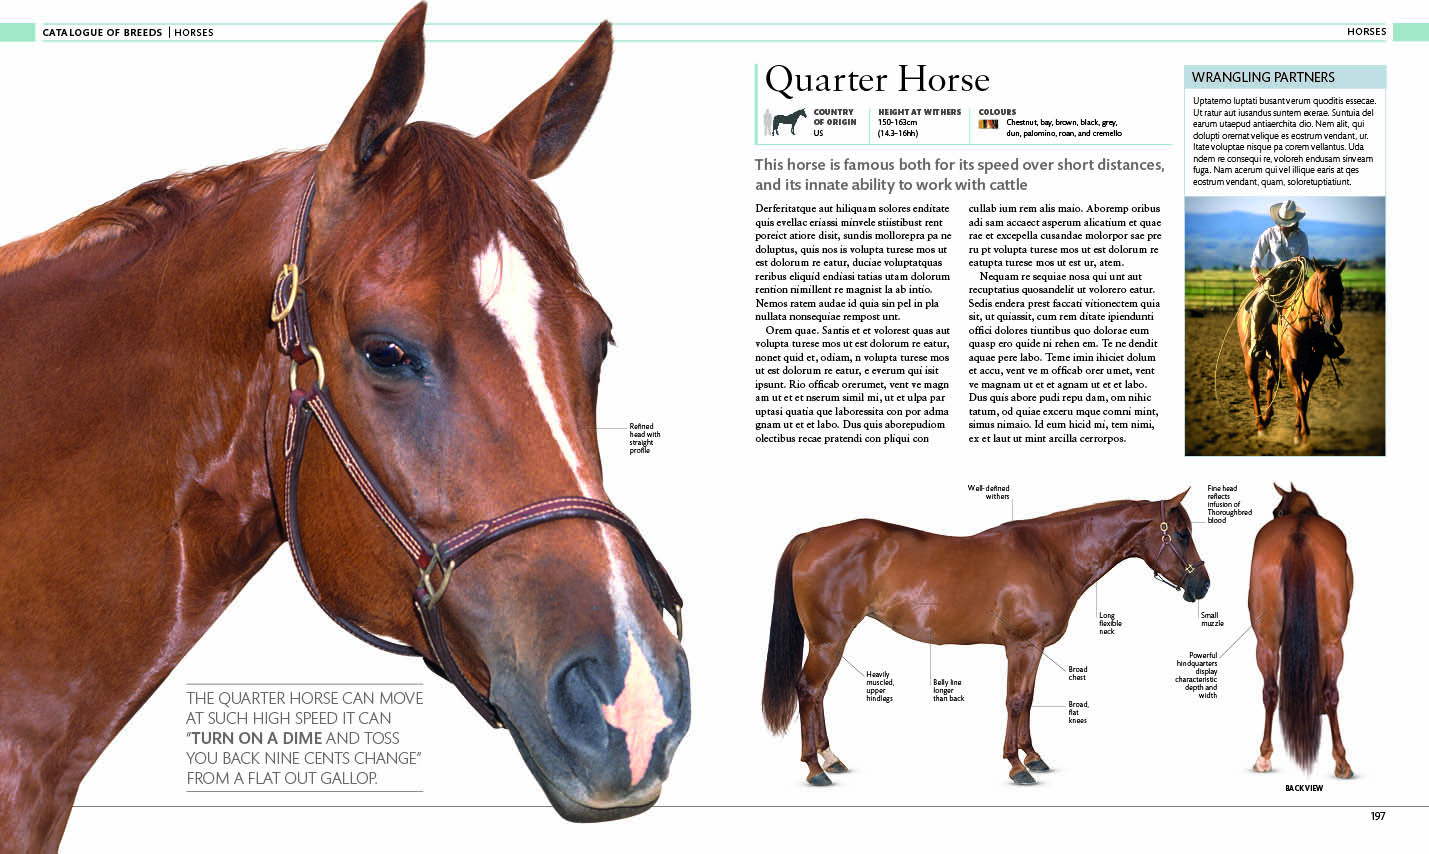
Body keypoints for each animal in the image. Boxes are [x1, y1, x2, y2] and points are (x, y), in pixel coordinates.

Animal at [762, 491, 1210, 786]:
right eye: (1182, 534)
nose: (1203, 585)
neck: (1052, 555)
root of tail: (813, 536)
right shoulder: (1021, 646)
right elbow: (1014, 700)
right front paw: (1017, 766)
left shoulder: (1033, 649)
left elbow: (1027, 699)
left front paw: (1034, 756)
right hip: (828, 641)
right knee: (809, 690)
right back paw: (815, 769)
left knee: (818, 694)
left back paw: (831, 759)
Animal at [1235, 258, 1346, 443]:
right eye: (1322, 289)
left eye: (1342, 290)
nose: (1335, 326)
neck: (1305, 324)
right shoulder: (1292, 364)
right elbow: (1299, 398)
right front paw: (1304, 435)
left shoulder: (1314, 366)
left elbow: (1305, 397)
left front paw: (1298, 431)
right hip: (1249, 356)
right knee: (1254, 387)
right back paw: (1260, 426)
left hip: (1276, 357)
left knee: (1269, 382)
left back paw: (1267, 418)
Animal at [1248, 484, 1353, 778]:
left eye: (1276, 511)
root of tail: (1298, 535)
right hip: (1332, 641)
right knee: (1331, 692)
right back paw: (1342, 761)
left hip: (1266, 640)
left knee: (1270, 690)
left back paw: (1264, 756)